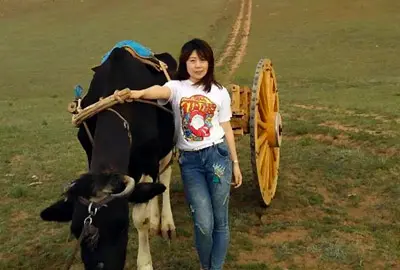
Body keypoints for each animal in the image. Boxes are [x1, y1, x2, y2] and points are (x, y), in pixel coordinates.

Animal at [41, 45, 177, 268]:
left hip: (167, 146)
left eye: (121, 227)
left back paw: (165, 223)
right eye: (75, 231)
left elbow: (141, 219)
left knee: (164, 178)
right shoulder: (90, 152)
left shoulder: (148, 159)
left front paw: (145, 263)